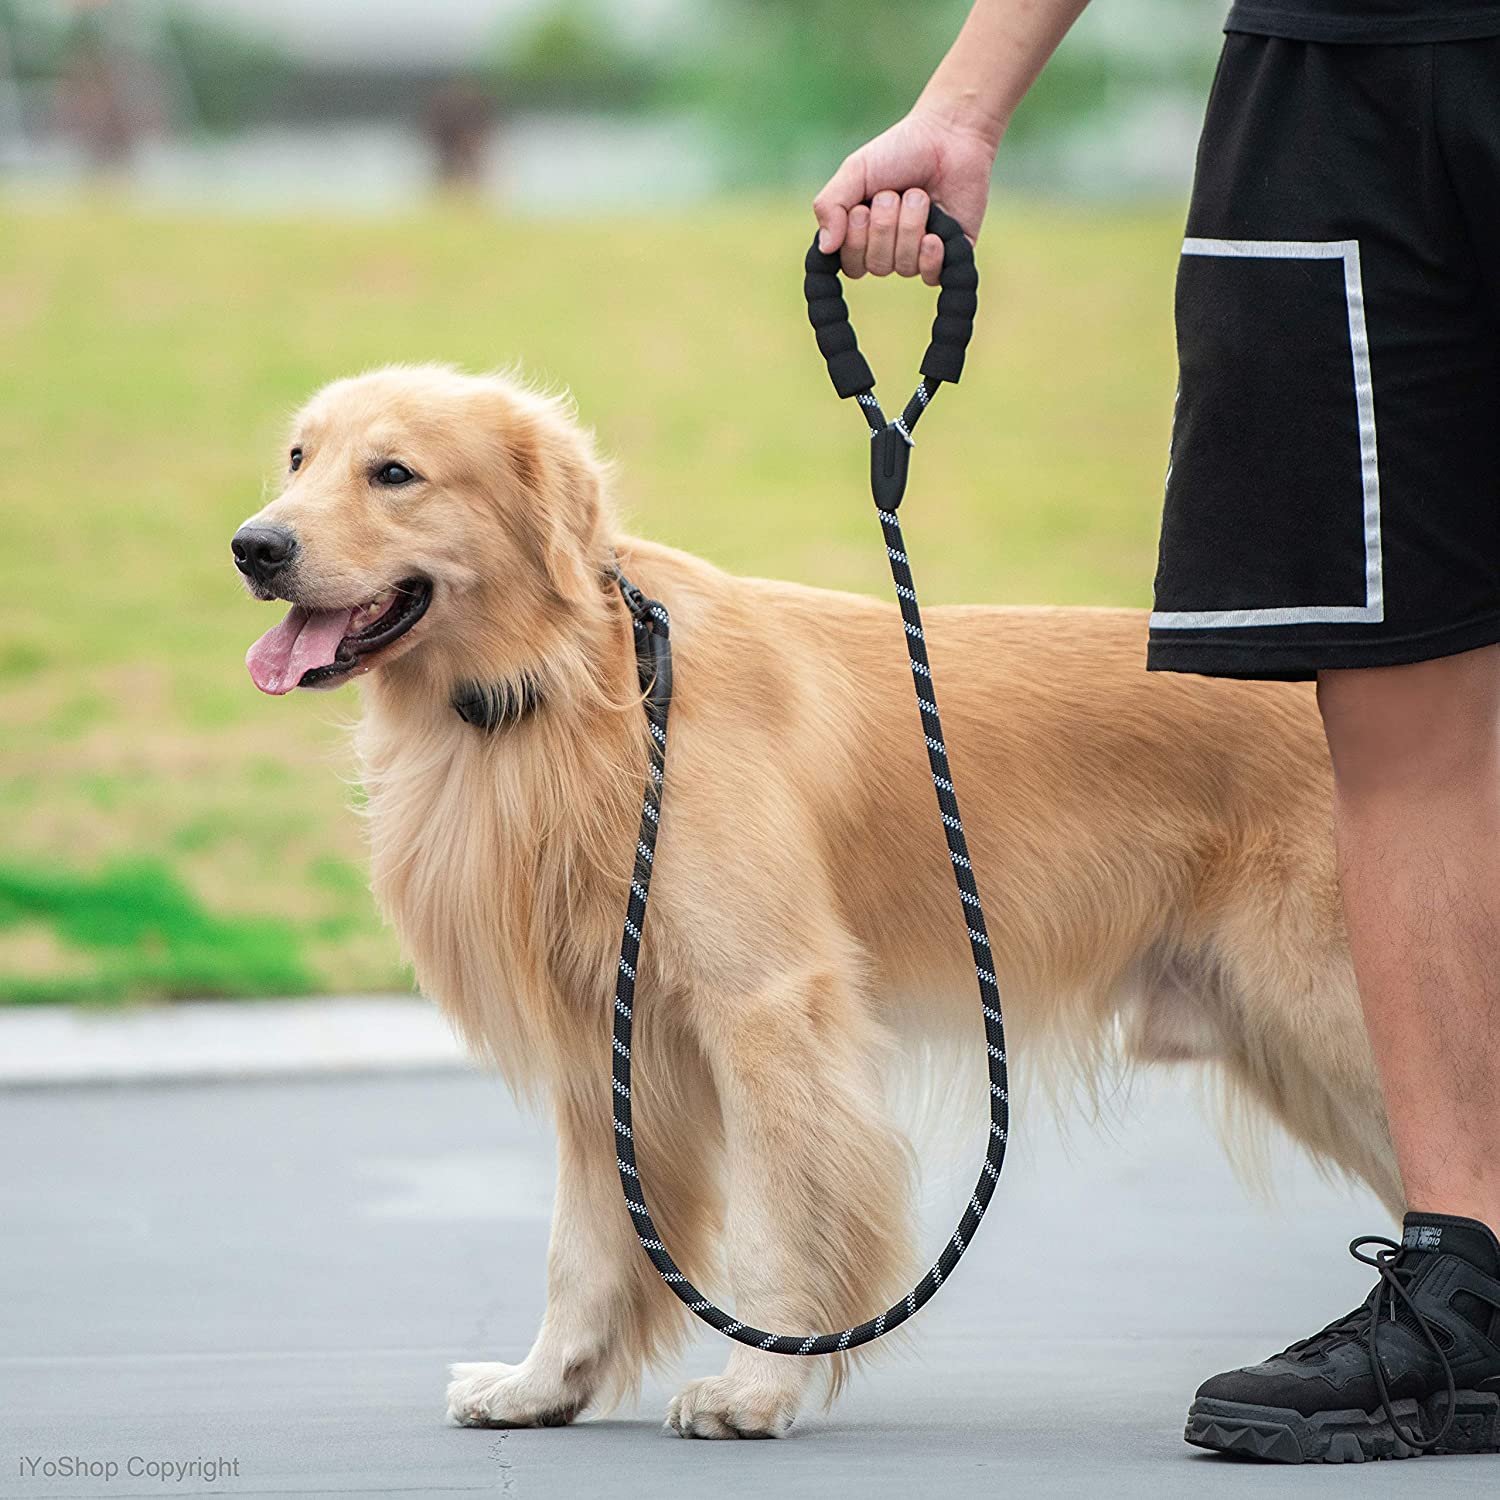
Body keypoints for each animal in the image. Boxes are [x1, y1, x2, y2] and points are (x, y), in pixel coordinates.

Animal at [231, 363, 1392, 1440]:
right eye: (296, 459)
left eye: (394, 473)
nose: (253, 547)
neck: (575, 684)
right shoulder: (603, 1038)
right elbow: (586, 1243)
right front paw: (542, 1384)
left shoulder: (765, 1007)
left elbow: (777, 1221)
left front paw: (754, 1389)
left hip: (1332, 1015)